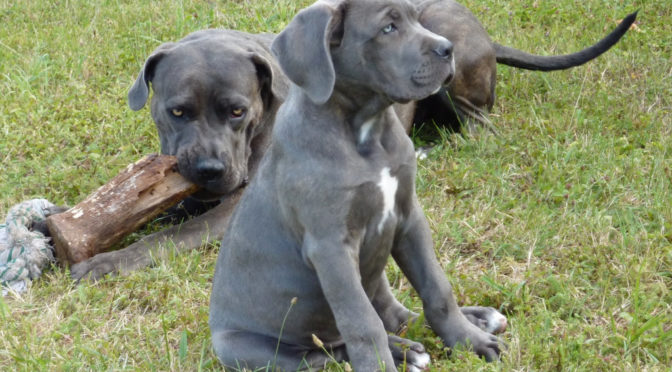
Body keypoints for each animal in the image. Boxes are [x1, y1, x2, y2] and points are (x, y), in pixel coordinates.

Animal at [209, 0, 498, 370]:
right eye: (388, 28)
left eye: (416, 18)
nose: (448, 49)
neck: (367, 132)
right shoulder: (331, 247)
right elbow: (361, 322)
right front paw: (381, 363)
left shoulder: (409, 217)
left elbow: (437, 288)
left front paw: (468, 340)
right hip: (249, 348)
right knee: (328, 351)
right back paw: (403, 351)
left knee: (391, 312)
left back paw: (473, 320)